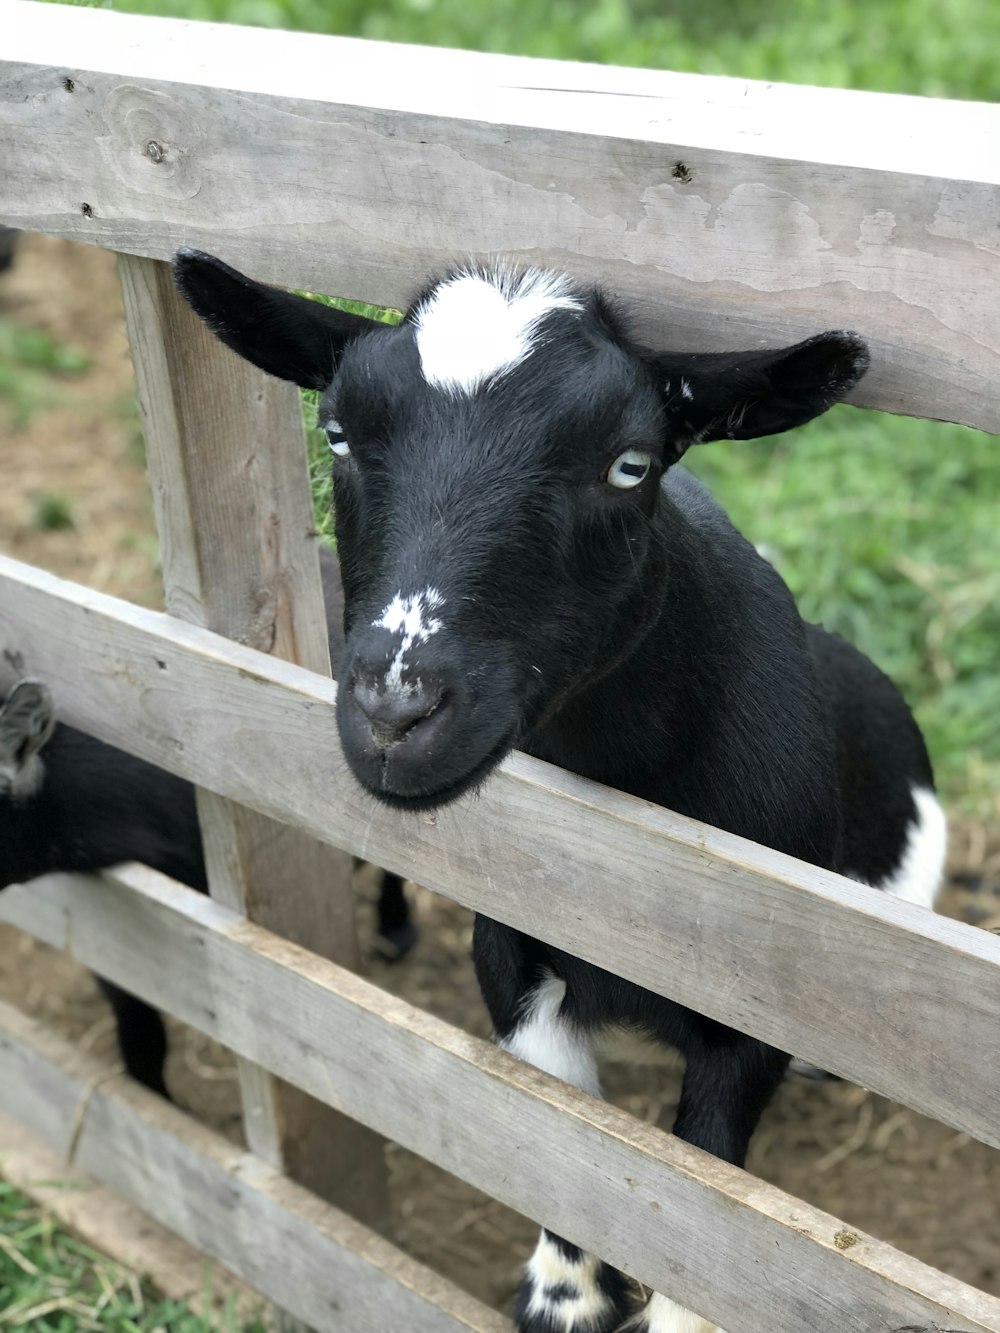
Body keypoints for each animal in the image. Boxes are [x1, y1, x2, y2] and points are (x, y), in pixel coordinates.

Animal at [172, 251, 949, 1333]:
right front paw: (565, 1294)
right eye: (336, 432)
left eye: (629, 465)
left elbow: (708, 1206)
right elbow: (565, 1142)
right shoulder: (511, 940)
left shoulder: (752, 995)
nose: (396, 711)